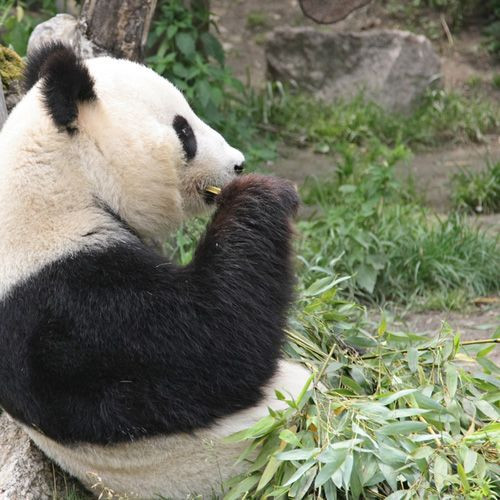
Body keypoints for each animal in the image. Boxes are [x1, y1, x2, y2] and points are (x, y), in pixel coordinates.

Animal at [0, 44, 308, 500]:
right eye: (184, 131)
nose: (238, 164)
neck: (55, 185)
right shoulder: (70, 308)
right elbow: (214, 344)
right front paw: (261, 192)